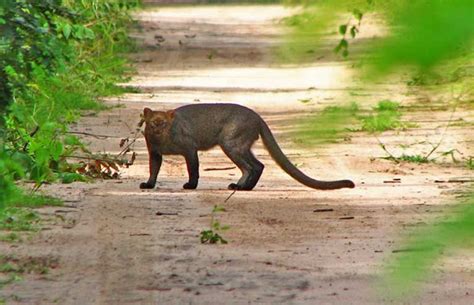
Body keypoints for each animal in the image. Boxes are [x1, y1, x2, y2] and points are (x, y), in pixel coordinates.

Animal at [139, 104, 354, 190]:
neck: (162, 141)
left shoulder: (190, 149)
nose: (158, 128)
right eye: (153, 123)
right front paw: (148, 185)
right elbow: (153, 170)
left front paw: (190, 186)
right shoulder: (154, 153)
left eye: (164, 123)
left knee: (252, 167)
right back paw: (242, 186)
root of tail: (258, 117)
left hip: (231, 143)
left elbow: (193, 169)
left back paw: (241, 187)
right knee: (256, 166)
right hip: (240, 145)